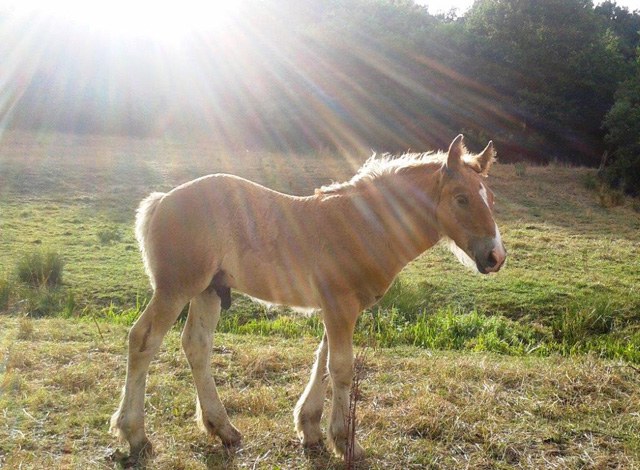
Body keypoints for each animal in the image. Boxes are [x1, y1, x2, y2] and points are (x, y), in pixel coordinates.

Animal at [112, 133, 508, 462]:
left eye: (490, 198)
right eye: (461, 199)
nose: (496, 256)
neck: (365, 225)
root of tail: (161, 201)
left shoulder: (339, 307)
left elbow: (324, 359)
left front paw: (311, 429)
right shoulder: (340, 306)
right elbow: (342, 368)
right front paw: (346, 442)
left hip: (208, 290)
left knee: (196, 345)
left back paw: (223, 429)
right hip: (175, 289)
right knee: (143, 340)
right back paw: (135, 435)